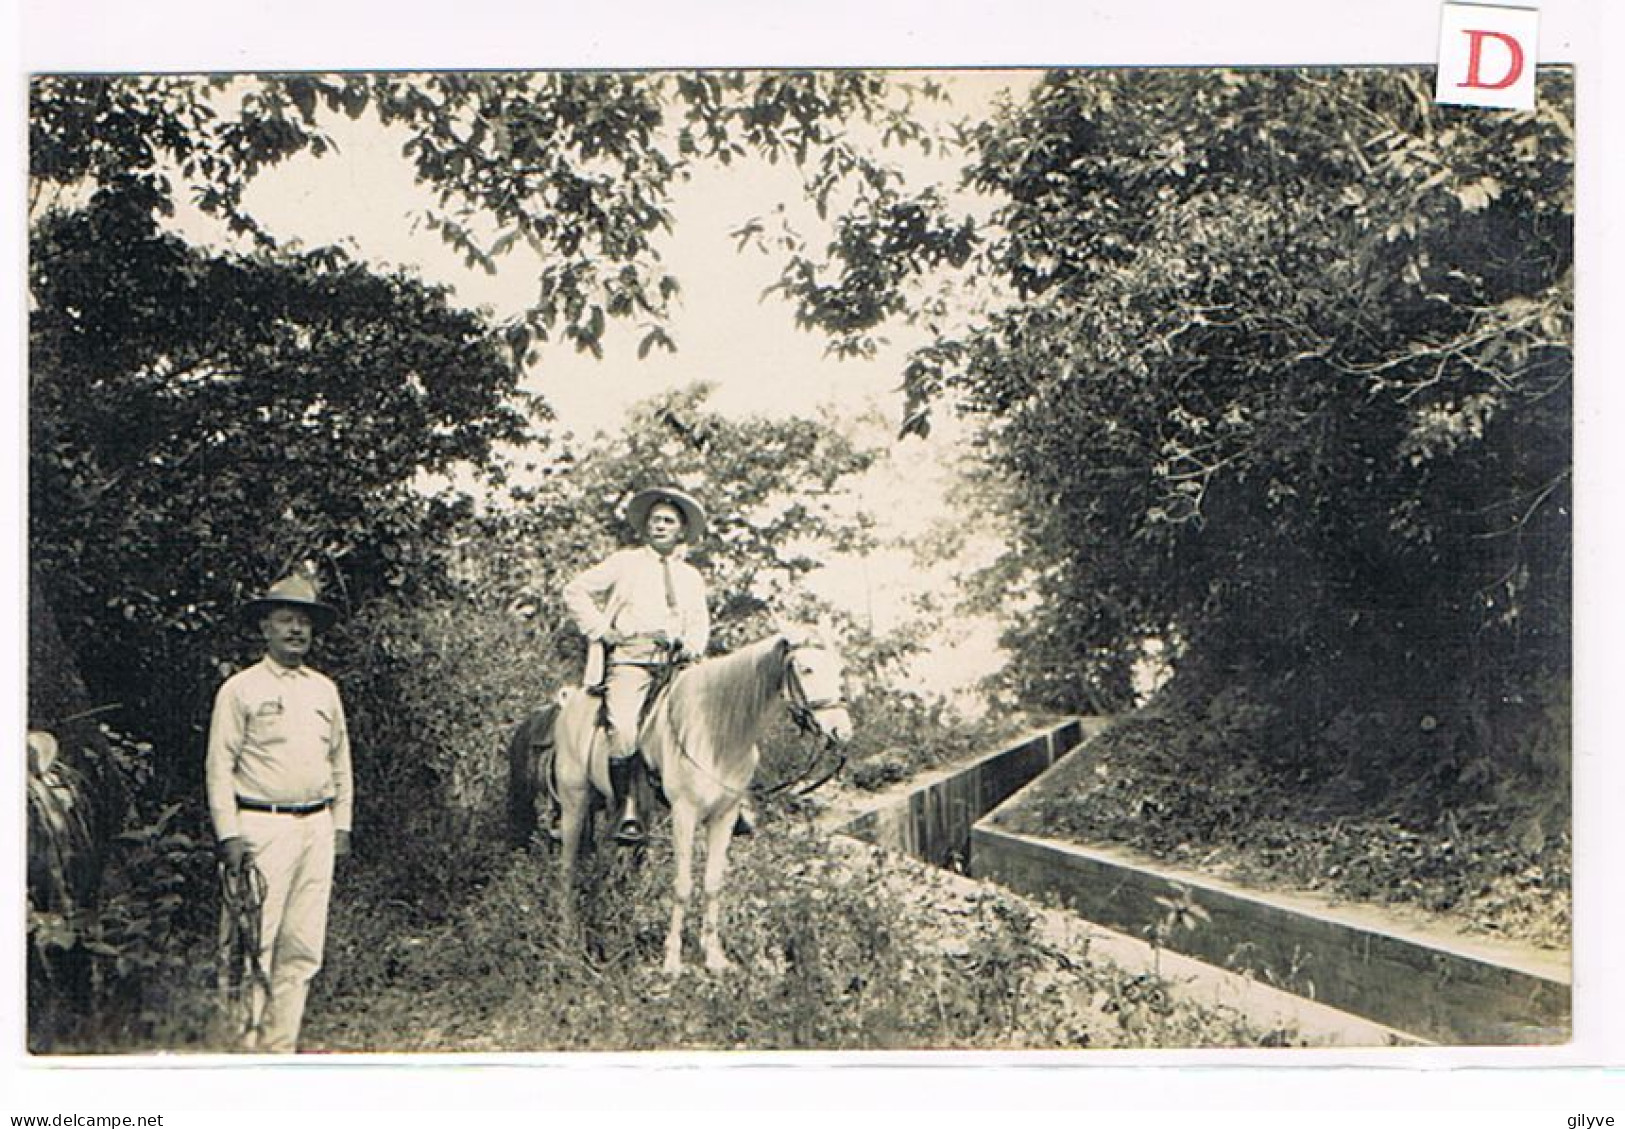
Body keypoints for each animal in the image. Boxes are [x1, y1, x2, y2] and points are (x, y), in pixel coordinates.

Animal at [549, 636, 851, 974]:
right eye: (806, 669)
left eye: (839, 669)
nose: (842, 731)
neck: (717, 733)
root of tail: (572, 699)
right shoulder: (685, 814)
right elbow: (682, 885)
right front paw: (671, 961)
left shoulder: (724, 816)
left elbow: (712, 883)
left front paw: (714, 957)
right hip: (574, 803)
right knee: (567, 869)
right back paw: (567, 940)